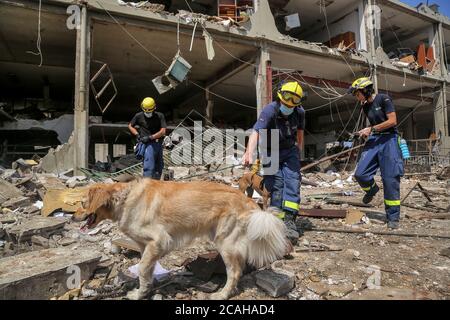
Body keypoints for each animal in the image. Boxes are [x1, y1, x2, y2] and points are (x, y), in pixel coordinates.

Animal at [74, 179, 290, 298]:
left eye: (82, 203)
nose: (72, 216)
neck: (125, 199)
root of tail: (248, 201)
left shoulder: (160, 240)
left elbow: (142, 268)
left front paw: (138, 294)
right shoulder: (146, 246)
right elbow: (146, 270)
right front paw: (144, 291)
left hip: (225, 243)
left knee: (235, 272)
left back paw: (222, 294)